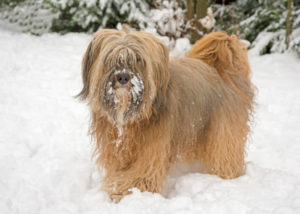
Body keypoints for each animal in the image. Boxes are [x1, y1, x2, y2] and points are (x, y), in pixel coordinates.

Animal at [77, 29, 253, 201]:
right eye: (110, 58)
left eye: (138, 59)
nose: (123, 77)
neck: (133, 117)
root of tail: (221, 69)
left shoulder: (153, 149)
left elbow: (141, 175)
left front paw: (120, 190)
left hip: (224, 132)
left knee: (225, 156)